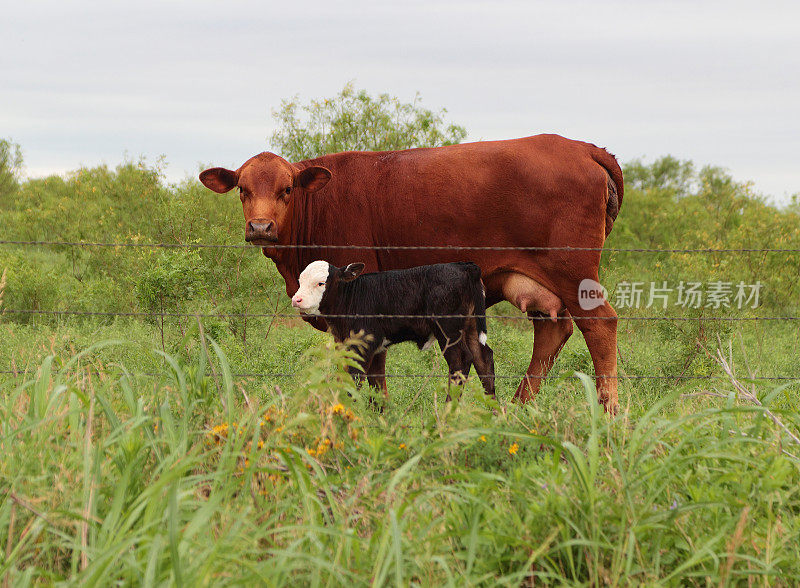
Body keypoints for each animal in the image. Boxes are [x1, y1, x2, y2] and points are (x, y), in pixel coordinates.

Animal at [292, 260, 494, 396]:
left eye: (321, 283)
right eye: (300, 280)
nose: (297, 299)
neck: (351, 297)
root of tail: (465, 266)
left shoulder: (363, 345)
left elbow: (355, 379)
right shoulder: (371, 348)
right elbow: (376, 385)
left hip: (448, 330)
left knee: (460, 361)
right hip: (471, 327)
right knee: (483, 358)